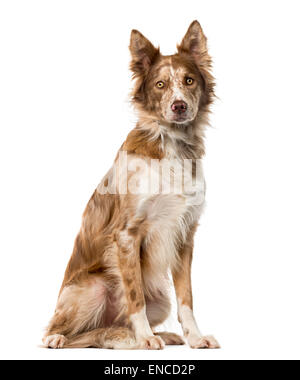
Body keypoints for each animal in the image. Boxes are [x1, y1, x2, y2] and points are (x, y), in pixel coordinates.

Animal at [43, 19, 219, 348]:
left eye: (189, 81)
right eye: (160, 85)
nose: (179, 106)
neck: (173, 145)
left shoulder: (185, 234)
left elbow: (186, 298)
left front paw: (195, 337)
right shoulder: (127, 233)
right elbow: (134, 294)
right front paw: (146, 338)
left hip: (161, 300)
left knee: (104, 331)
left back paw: (151, 334)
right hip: (92, 287)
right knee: (66, 333)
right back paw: (62, 338)